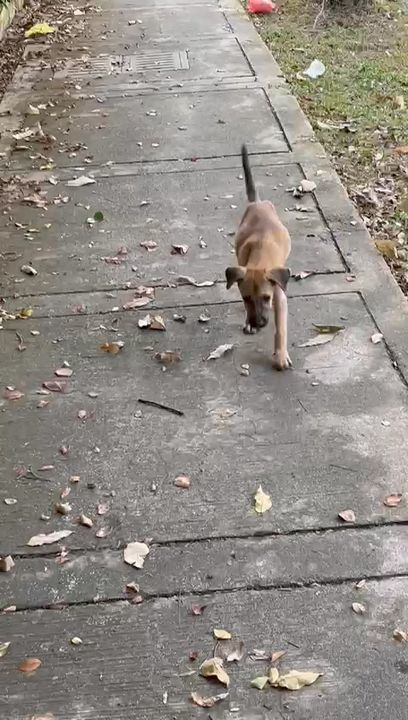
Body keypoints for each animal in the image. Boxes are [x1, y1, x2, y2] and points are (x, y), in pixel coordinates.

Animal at [225, 146, 292, 372]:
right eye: (246, 298)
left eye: (266, 298)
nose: (258, 324)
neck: (260, 257)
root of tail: (257, 202)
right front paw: (248, 322)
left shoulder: (279, 295)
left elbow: (281, 328)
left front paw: (281, 355)